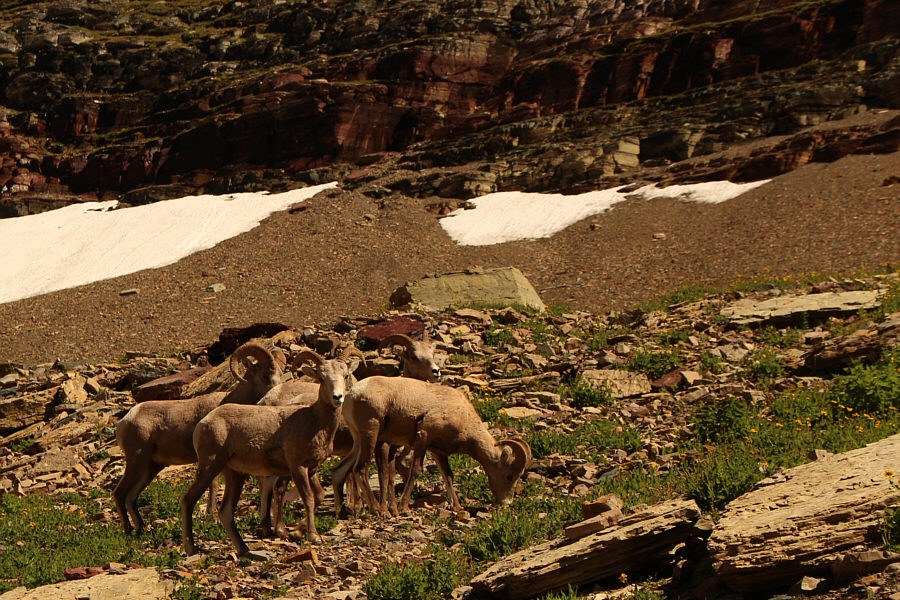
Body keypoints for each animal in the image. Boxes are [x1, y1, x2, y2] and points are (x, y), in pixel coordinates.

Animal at [113, 342, 284, 534]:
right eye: (265, 376)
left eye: (279, 374)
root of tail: (126, 420)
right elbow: (214, 485)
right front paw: (211, 515)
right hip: (136, 460)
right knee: (119, 493)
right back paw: (128, 531)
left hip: (151, 466)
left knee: (131, 496)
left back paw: (141, 529)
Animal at [181, 350, 360, 556]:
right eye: (322, 378)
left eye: (345, 375)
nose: (337, 397)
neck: (314, 421)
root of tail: (203, 423)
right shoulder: (298, 468)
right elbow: (308, 498)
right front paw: (313, 536)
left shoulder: (312, 469)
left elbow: (317, 496)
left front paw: (298, 532)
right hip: (209, 467)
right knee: (188, 500)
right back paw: (191, 548)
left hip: (234, 474)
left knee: (225, 511)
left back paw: (244, 550)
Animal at [331, 376, 531, 517]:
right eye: (509, 476)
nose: (506, 503)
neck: (462, 416)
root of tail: (351, 396)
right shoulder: (424, 436)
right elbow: (416, 470)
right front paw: (404, 508)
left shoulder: (438, 451)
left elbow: (448, 475)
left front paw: (458, 507)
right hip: (370, 435)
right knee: (360, 469)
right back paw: (379, 511)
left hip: (359, 441)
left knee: (340, 471)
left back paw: (342, 513)